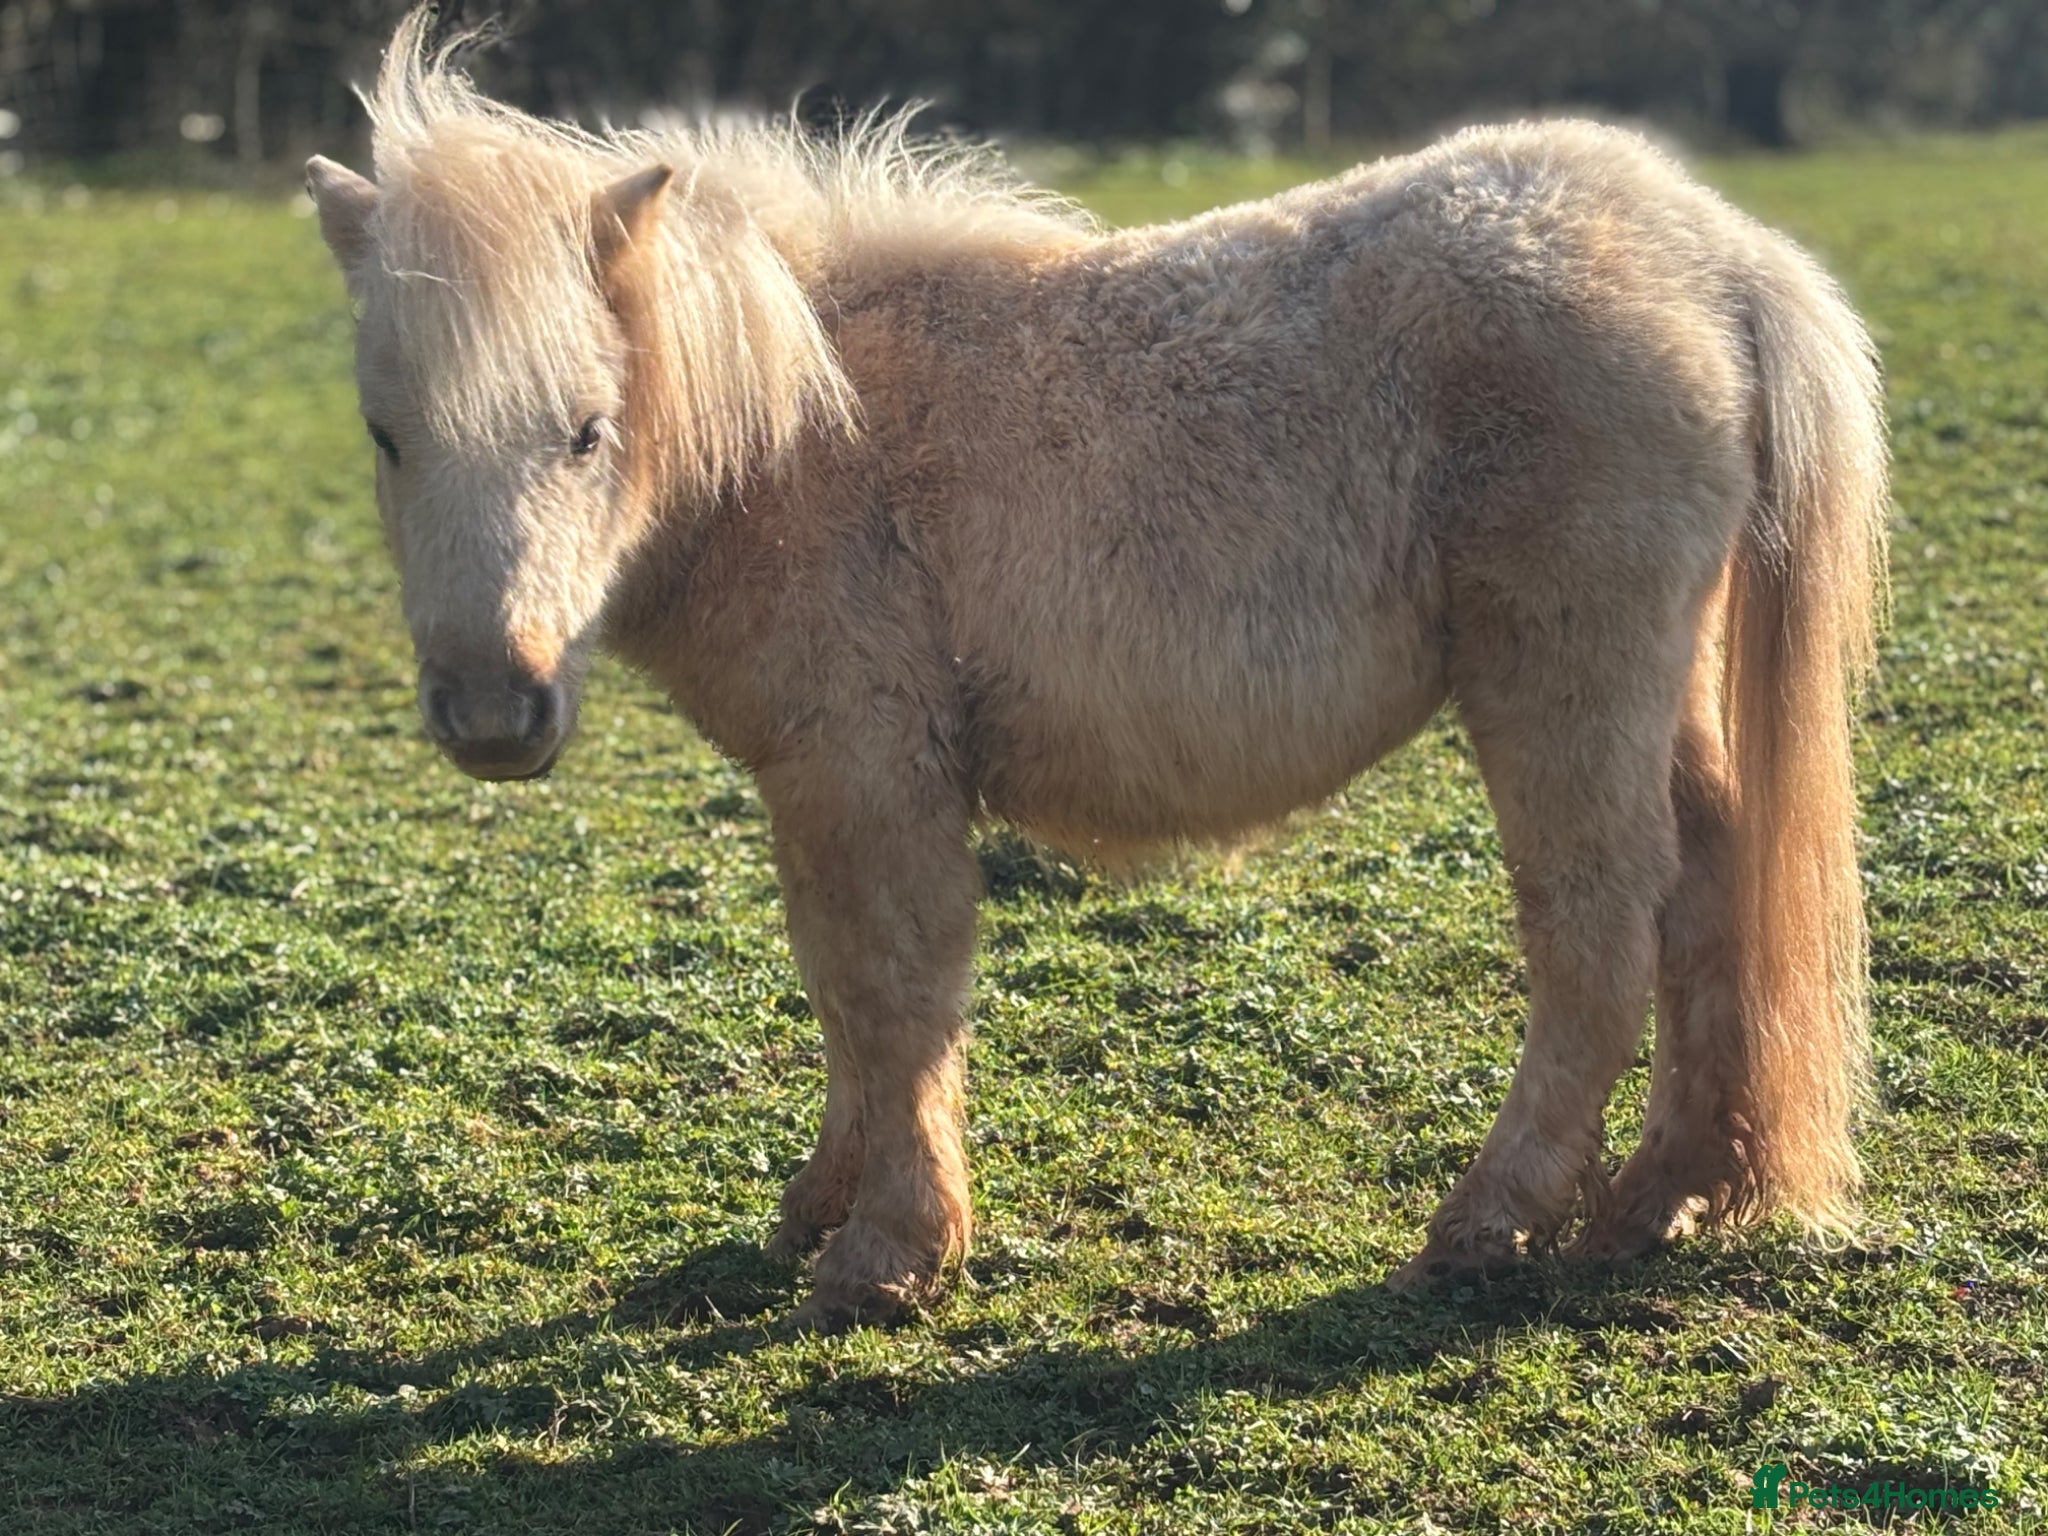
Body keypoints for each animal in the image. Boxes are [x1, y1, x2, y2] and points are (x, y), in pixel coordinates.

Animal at [306, 12, 1887, 1325]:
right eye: (384, 433)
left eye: (587, 428)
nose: (493, 712)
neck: (808, 431)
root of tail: (1710, 254)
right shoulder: (816, 784)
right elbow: (840, 989)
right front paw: (820, 1209)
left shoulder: (870, 771)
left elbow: (897, 988)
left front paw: (888, 1254)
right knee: (1711, 883)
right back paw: (1663, 1196)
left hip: (1562, 685)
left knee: (1596, 931)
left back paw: (1490, 1221)